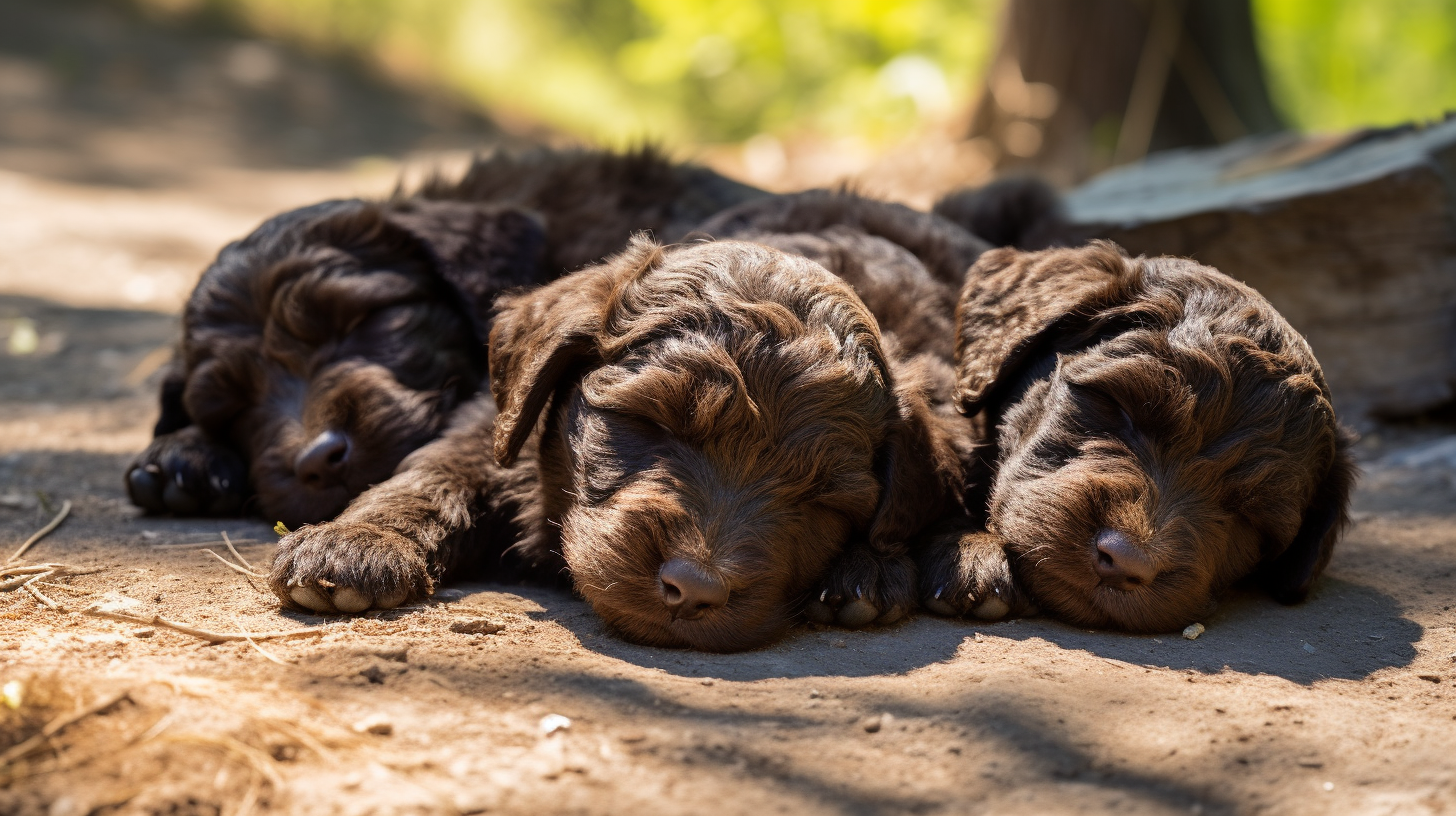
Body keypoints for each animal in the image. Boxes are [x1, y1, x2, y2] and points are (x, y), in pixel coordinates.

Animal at [270, 193, 990, 652]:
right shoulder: (496, 431)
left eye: (822, 499)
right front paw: (358, 541)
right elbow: (442, 467)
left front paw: (869, 564)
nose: (694, 590)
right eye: (652, 424)